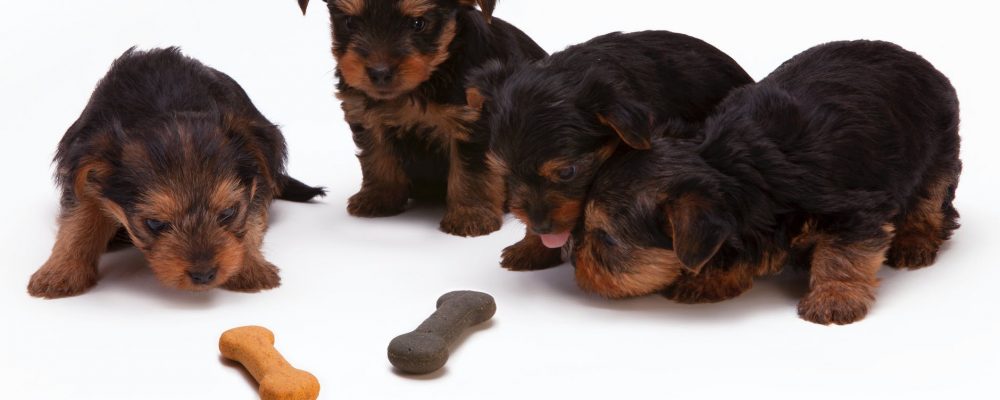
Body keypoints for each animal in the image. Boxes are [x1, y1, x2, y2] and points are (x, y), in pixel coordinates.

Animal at [28, 47, 326, 298]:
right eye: (154, 224)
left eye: (228, 212)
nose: (204, 275)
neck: (164, 106)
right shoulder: (84, 170)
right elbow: (77, 221)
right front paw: (60, 272)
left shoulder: (257, 177)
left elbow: (252, 219)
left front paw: (250, 267)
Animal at [298, 0, 547, 236]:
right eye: (350, 22)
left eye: (418, 23)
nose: (379, 72)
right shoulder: (365, 113)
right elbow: (376, 155)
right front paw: (379, 197)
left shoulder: (472, 121)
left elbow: (473, 170)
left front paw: (470, 214)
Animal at [573, 40, 961, 325]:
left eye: (605, 239)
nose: (572, 253)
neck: (729, 166)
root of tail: (915, 58)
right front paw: (710, 279)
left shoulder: (855, 210)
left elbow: (844, 254)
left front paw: (834, 298)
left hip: (939, 148)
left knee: (931, 199)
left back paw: (915, 241)